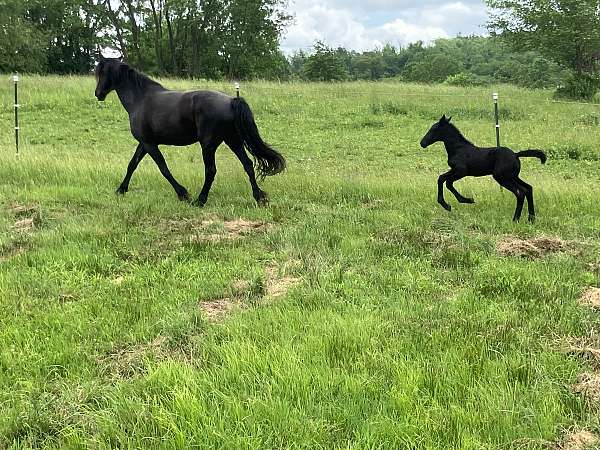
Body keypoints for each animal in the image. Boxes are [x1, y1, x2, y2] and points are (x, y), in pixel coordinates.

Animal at [94, 55, 286, 207]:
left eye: (101, 72)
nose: (98, 94)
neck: (140, 99)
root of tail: (232, 100)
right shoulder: (144, 143)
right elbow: (132, 165)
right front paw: (121, 190)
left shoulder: (149, 144)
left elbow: (163, 168)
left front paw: (183, 194)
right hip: (233, 141)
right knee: (248, 165)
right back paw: (259, 197)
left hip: (208, 145)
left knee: (211, 171)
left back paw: (200, 200)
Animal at [420, 115, 548, 222]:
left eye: (433, 129)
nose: (422, 143)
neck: (458, 149)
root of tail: (516, 155)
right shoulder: (454, 170)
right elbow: (441, 178)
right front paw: (450, 204)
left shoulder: (461, 171)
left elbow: (448, 182)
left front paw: (463, 201)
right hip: (513, 176)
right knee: (528, 188)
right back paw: (531, 219)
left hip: (502, 177)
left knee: (520, 192)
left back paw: (515, 219)